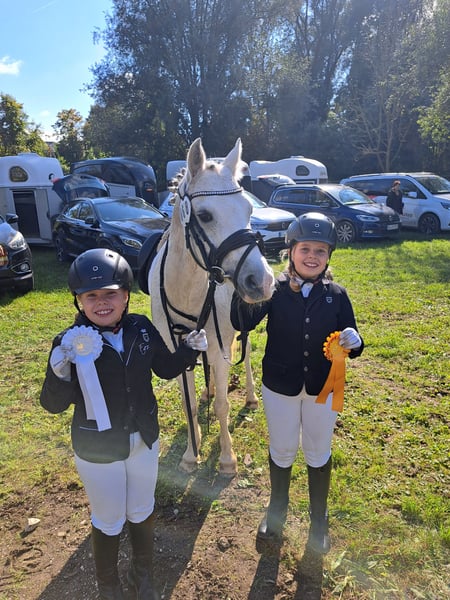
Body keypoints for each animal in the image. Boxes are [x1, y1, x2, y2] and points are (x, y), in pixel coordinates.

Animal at [147, 138, 275, 476]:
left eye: (248, 209)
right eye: (204, 216)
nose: (262, 281)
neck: (186, 289)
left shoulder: (220, 344)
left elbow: (222, 406)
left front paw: (227, 459)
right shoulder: (176, 346)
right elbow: (189, 403)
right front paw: (191, 454)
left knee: (245, 355)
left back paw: (250, 397)